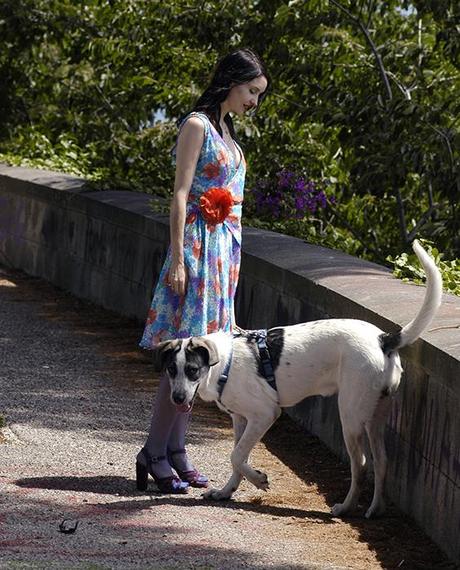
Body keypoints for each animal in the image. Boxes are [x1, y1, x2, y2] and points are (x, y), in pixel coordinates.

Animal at [154, 240, 442, 516]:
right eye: (171, 370)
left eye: (192, 370)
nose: (177, 398)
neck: (225, 361)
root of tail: (384, 339)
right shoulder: (241, 419)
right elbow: (237, 457)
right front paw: (226, 492)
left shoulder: (265, 414)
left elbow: (236, 456)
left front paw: (259, 480)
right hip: (374, 417)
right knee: (382, 462)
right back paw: (376, 509)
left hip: (350, 416)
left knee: (360, 465)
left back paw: (346, 507)